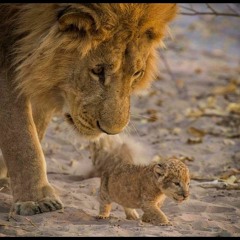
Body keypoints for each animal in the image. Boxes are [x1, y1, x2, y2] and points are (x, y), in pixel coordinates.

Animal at [0, 3, 176, 216]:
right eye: (98, 70)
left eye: (137, 73)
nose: (111, 132)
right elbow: (20, 133)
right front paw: (36, 199)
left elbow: (37, 124)